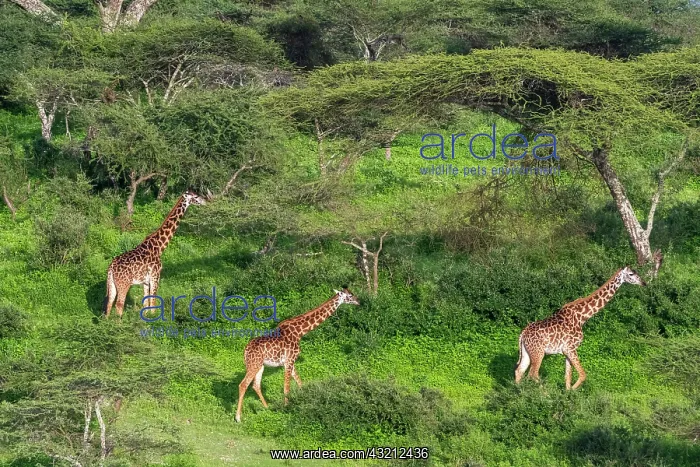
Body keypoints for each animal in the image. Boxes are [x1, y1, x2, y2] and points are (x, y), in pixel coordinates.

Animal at [235, 288, 360, 423]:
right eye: (350, 295)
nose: (359, 301)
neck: (300, 332)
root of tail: (245, 350)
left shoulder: (291, 362)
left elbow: (300, 383)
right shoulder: (289, 361)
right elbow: (287, 387)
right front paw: (286, 408)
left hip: (260, 365)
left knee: (256, 385)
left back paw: (267, 407)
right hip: (254, 364)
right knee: (243, 384)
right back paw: (238, 417)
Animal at [514, 266, 646, 390]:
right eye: (631, 274)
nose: (644, 283)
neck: (582, 317)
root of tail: (523, 334)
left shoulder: (567, 350)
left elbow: (568, 376)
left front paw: (567, 394)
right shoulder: (571, 348)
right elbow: (583, 374)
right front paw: (572, 391)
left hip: (527, 352)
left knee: (519, 371)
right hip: (538, 352)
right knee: (532, 374)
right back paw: (544, 393)